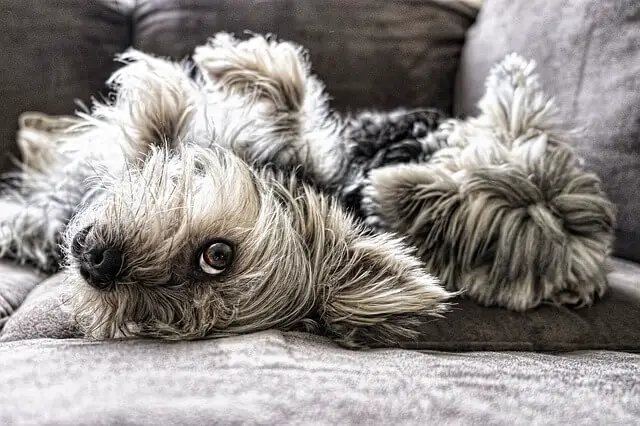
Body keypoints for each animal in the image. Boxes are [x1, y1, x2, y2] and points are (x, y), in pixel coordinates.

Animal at [0, 32, 616, 346]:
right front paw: (216, 62)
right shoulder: (312, 144)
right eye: (540, 208)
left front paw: (159, 90)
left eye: (216, 257)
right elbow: (291, 92)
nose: (97, 262)